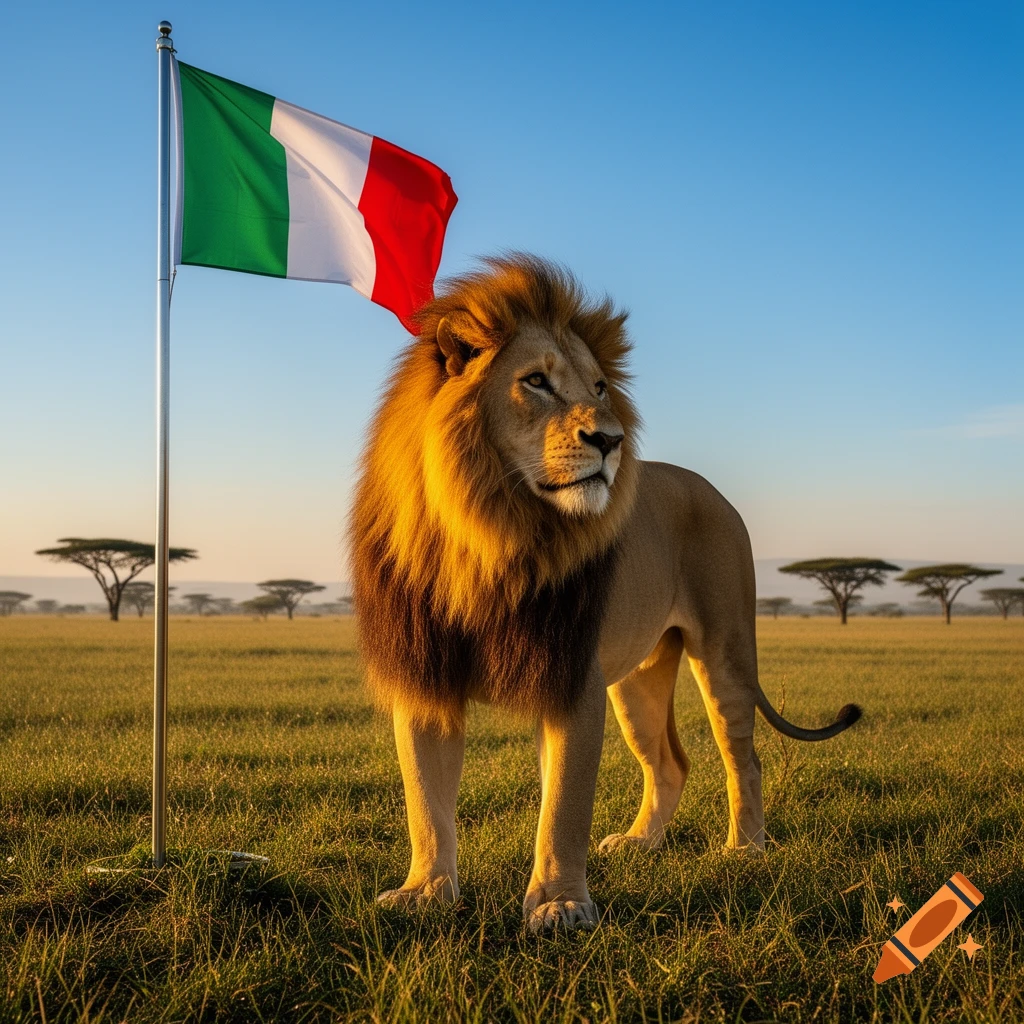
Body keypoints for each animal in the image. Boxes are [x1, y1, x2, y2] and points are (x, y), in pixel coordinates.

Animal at [349, 254, 860, 933]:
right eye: (536, 381)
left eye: (598, 388)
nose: (611, 440)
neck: (489, 532)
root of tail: (710, 488)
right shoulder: (425, 675)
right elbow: (425, 803)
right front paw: (425, 892)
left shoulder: (572, 677)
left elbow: (563, 807)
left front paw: (560, 902)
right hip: (637, 680)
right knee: (670, 762)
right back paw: (642, 842)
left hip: (724, 652)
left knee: (742, 757)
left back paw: (744, 849)